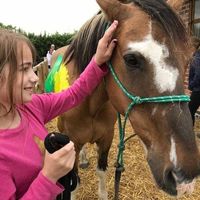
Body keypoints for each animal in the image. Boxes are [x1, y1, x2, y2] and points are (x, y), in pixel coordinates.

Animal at [49, 0, 200, 198]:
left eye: (187, 59)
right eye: (131, 59)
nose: (183, 177)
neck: (90, 106)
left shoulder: (107, 138)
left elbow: (102, 172)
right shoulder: (71, 142)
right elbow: (73, 182)